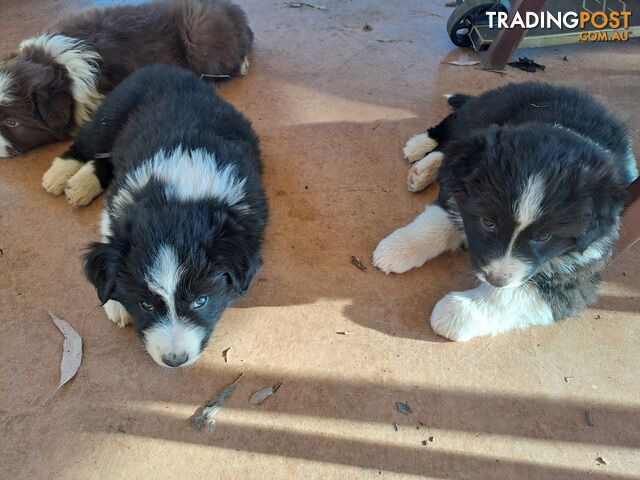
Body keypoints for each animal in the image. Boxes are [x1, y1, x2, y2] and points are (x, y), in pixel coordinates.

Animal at [76, 65, 266, 368]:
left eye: (200, 301)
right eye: (145, 304)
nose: (174, 360)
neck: (178, 198)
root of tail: (165, 67)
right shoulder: (119, 202)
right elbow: (108, 231)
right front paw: (115, 304)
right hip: (110, 116)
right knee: (86, 143)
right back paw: (63, 177)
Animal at [372, 82, 636, 344]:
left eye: (544, 237)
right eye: (488, 222)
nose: (495, 279)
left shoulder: (581, 275)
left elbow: (515, 295)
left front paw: (457, 312)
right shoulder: (460, 193)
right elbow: (437, 220)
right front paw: (398, 248)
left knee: (454, 149)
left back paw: (424, 169)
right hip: (482, 112)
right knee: (452, 132)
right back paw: (419, 148)